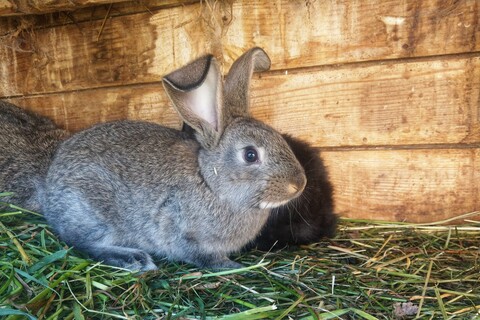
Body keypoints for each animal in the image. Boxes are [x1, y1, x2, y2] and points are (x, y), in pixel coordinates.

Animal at [43, 47, 308, 272]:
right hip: (93, 212)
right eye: (250, 155)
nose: (299, 184)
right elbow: (202, 256)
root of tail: (50, 181)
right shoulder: (182, 231)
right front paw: (231, 266)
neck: (210, 183)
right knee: (82, 243)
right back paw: (134, 259)